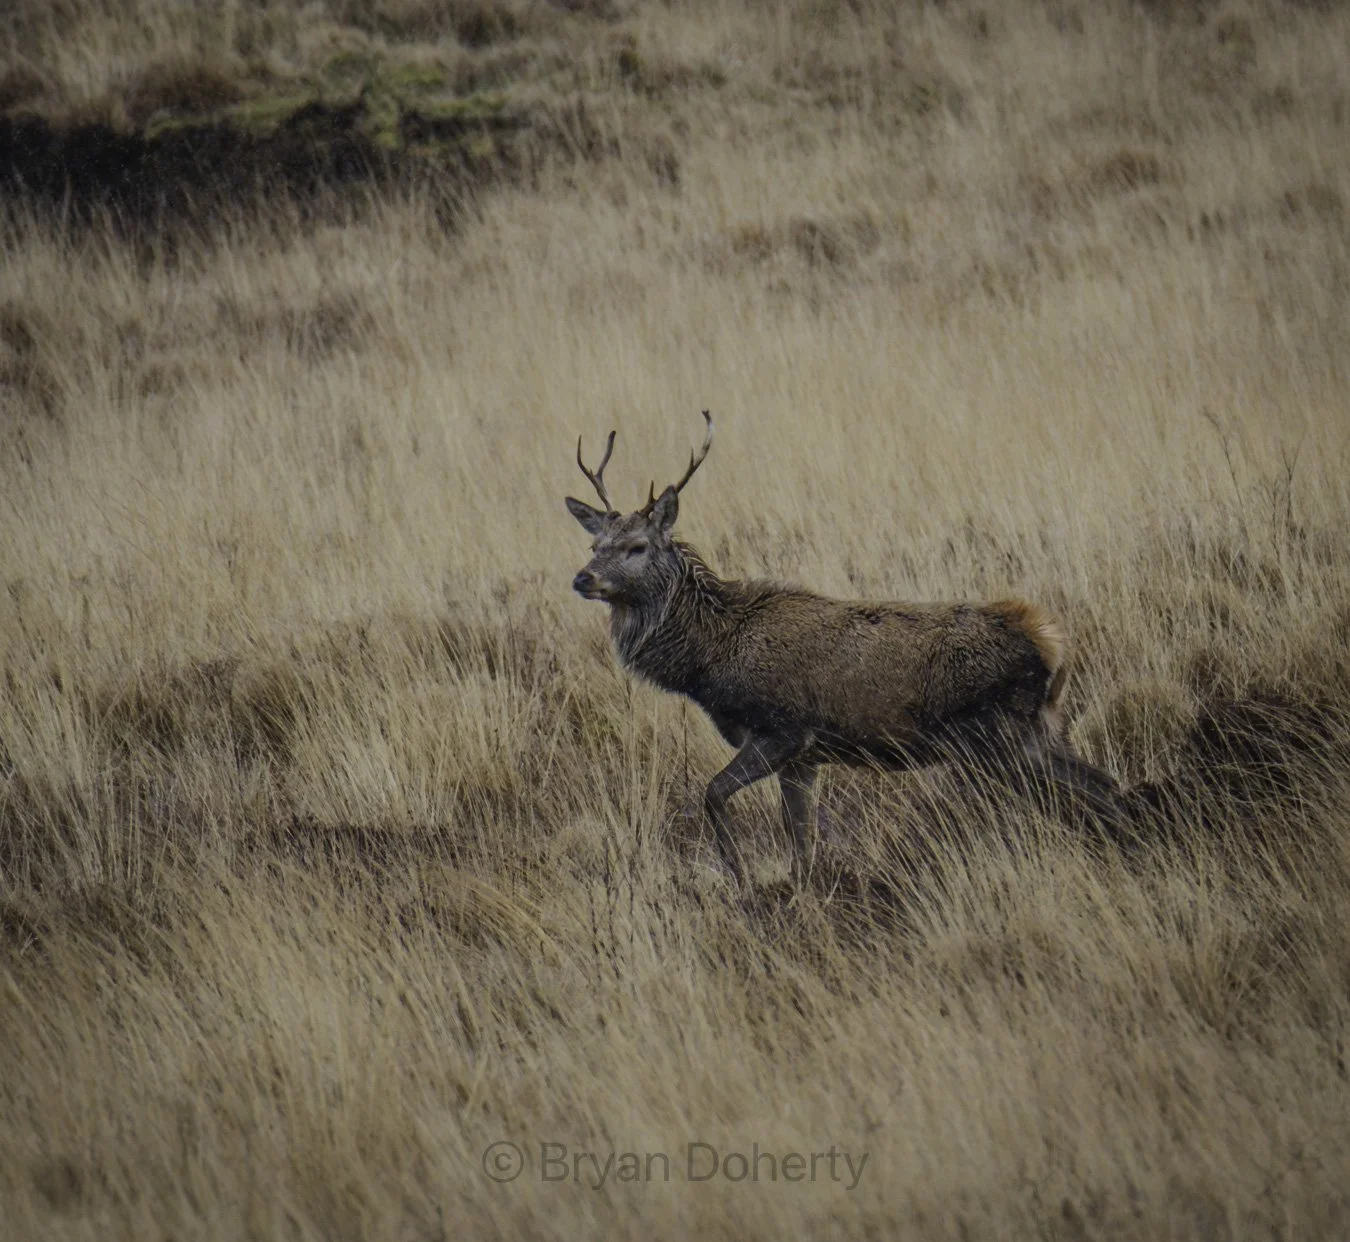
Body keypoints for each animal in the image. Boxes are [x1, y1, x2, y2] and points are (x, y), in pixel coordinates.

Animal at [566, 411, 1125, 887]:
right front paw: (798, 895)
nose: (582, 578)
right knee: (1105, 783)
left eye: (636, 546)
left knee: (1095, 789)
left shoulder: (782, 728)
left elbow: (714, 795)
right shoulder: (804, 758)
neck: (713, 659)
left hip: (1000, 734)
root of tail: (1052, 641)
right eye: (594, 545)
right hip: (1033, 731)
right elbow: (801, 844)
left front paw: (743, 882)